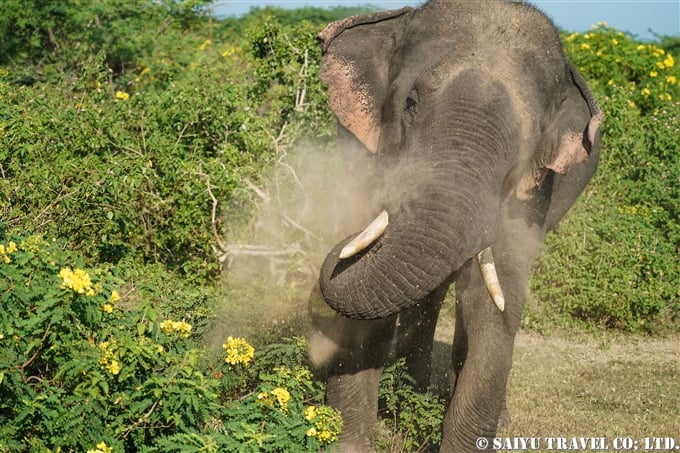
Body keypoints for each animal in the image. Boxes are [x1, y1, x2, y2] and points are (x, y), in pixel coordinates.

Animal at [310, 0, 604, 452]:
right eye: (410, 102)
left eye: (529, 144)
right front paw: (347, 441)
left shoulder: (535, 194)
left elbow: (496, 302)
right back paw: (413, 389)